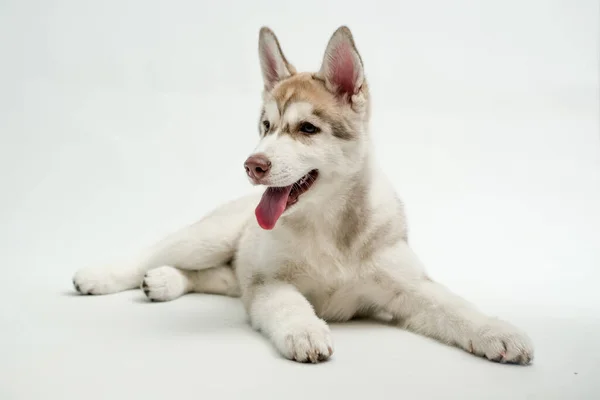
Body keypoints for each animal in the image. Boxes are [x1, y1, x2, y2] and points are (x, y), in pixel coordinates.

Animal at [71, 25, 536, 366]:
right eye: (265, 125)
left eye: (307, 129)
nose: (253, 165)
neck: (330, 226)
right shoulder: (269, 282)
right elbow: (290, 305)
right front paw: (306, 331)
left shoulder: (408, 287)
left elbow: (455, 308)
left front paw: (498, 332)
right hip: (208, 237)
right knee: (152, 253)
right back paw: (102, 276)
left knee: (213, 277)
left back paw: (166, 281)